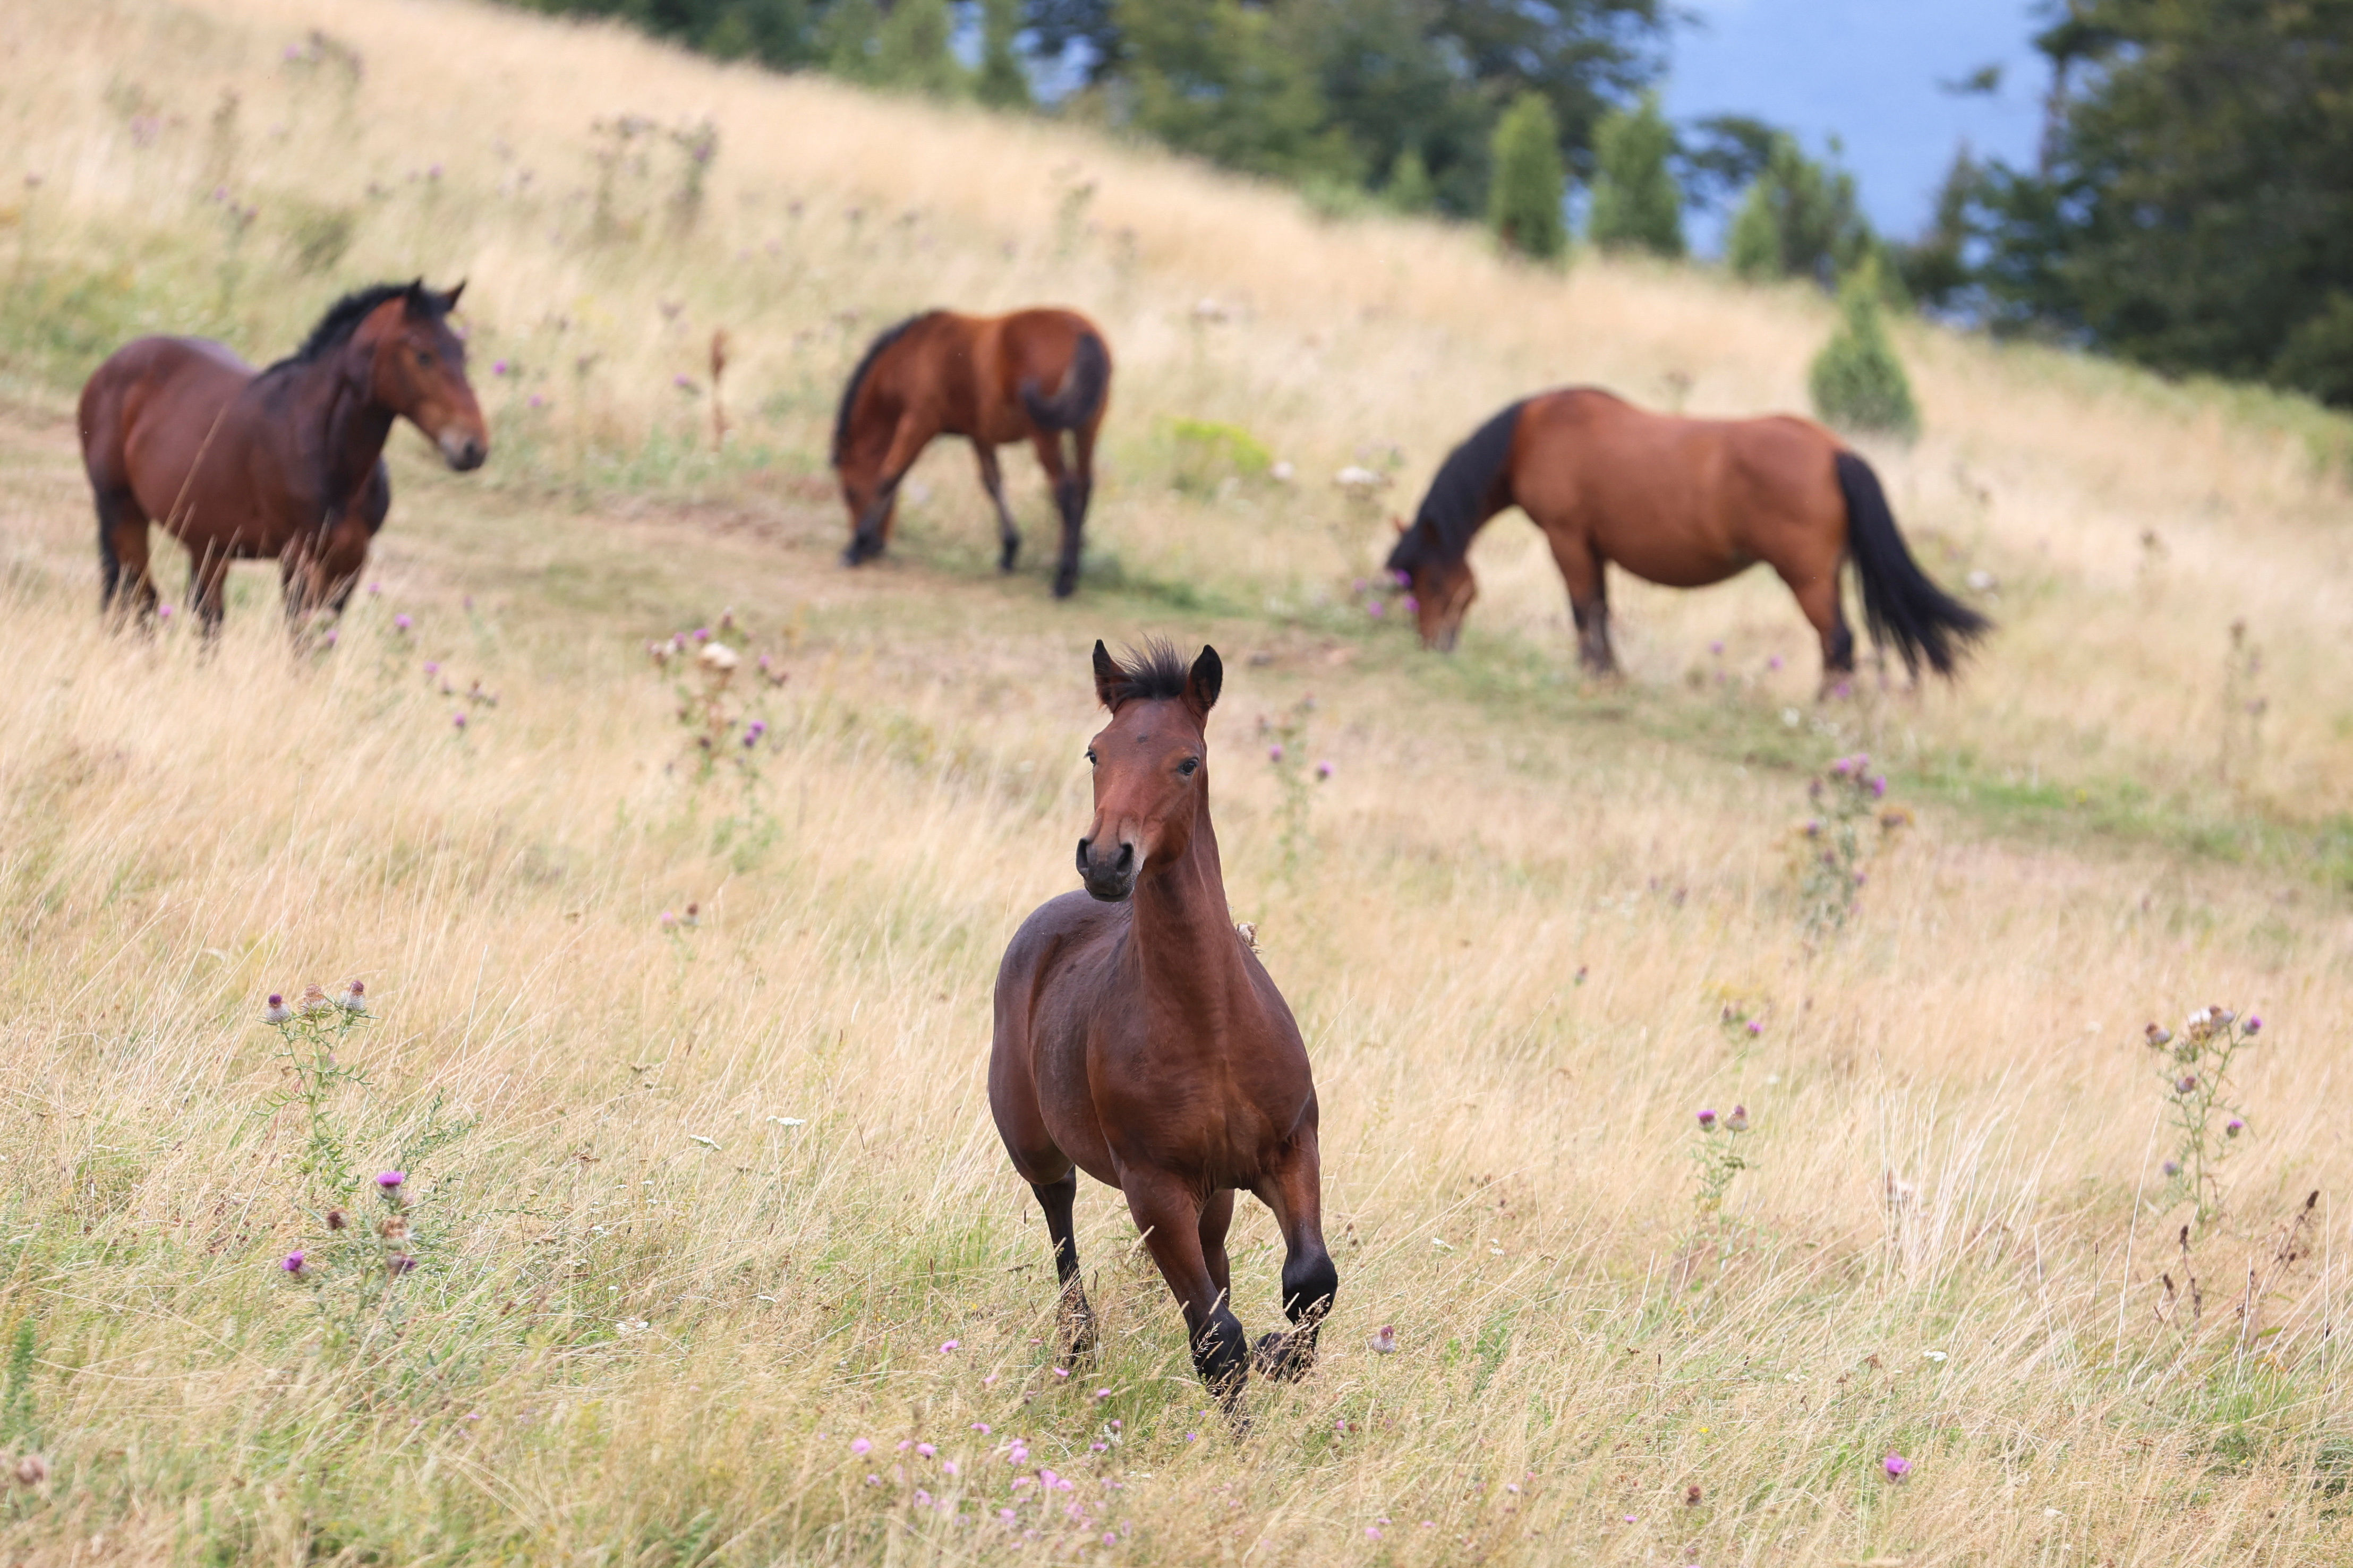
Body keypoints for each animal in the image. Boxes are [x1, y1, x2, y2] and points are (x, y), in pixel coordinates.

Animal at [77, 277, 487, 639]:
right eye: (424, 355)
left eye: (464, 354)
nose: (474, 448)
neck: (326, 452)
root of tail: (112, 365)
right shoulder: (298, 559)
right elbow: (301, 641)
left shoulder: (349, 562)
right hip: (121, 510)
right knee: (136, 598)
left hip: (206, 542)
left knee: (202, 616)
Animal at [838, 305, 1110, 595]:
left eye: (850, 492)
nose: (876, 547)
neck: (912, 354)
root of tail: (1081, 331)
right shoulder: (980, 436)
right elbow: (993, 483)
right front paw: (1009, 551)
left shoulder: (919, 423)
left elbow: (890, 476)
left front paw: (854, 548)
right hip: (1086, 431)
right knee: (1084, 487)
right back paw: (1073, 572)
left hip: (1045, 435)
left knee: (1064, 491)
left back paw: (1063, 579)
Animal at [1383, 385, 1995, 681]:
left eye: (1431, 583)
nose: (1433, 645)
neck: (1533, 434)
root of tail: (1835, 452)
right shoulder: (1593, 547)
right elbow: (1601, 609)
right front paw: (1611, 672)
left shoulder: (1567, 539)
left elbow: (1583, 610)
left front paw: (1593, 672)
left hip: (1807, 580)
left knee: (1838, 643)